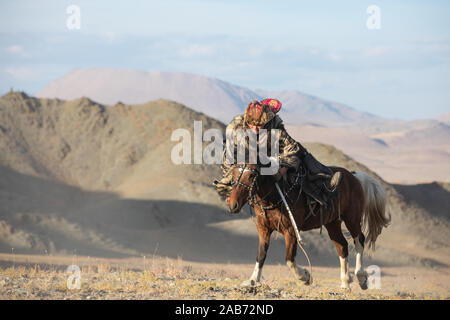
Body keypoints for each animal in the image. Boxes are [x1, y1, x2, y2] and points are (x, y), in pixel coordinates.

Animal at [229, 162, 390, 290]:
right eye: (234, 173)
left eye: (251, 176)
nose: (233, 204)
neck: (274, 195)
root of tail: (354, 176)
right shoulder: (264, 229)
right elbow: (261, 255)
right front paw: (253, 279)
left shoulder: (291, 231)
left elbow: (289, 259)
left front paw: (305, 277)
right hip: (332, 223)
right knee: (342, 246)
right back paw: (345, 283)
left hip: (352, 218)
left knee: (359, 240)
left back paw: (361, 277)